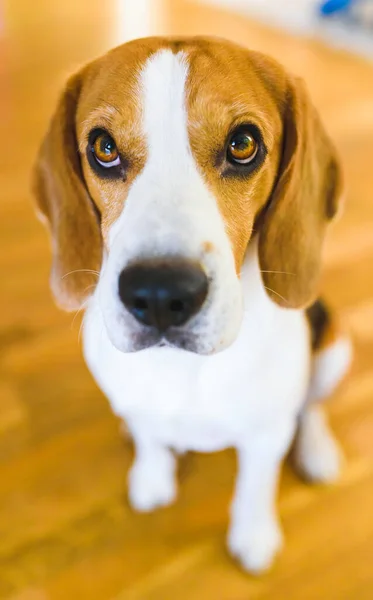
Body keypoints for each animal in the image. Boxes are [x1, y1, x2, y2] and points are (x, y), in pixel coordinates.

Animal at [32, 36, 352, 572]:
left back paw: (317, 450)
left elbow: (256, 483)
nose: (161, 295)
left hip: (336, 345)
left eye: (243, 144)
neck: (181, 366)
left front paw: (253, 535)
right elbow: (150, 437)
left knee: (311, 407)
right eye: (103, 148)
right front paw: (152, 477)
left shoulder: (266, 434)